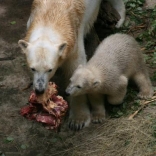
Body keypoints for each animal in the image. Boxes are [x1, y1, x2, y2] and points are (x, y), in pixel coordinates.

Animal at [18, 0, 125, 130]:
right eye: (33, 68)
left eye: (50, 69)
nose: (39, 89)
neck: (50, 17)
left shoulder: (74, 38)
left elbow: (75, 69)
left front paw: (78, 120)